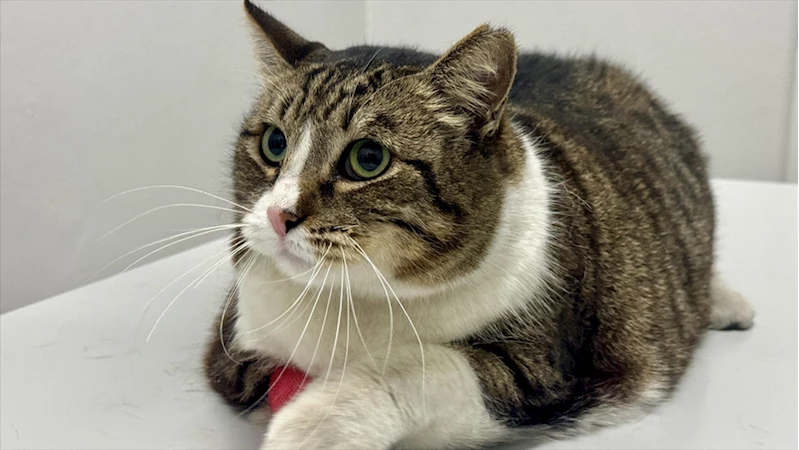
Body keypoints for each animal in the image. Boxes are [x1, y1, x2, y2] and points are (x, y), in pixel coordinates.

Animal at [203, 1, 756, 448]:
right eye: (274, 143)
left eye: (368, 159)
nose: (279, 215)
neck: (352, 299)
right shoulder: (234, 345)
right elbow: (258, 379)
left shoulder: (541, 370)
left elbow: (419, 366)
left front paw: (310, 425)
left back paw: (726, 303)